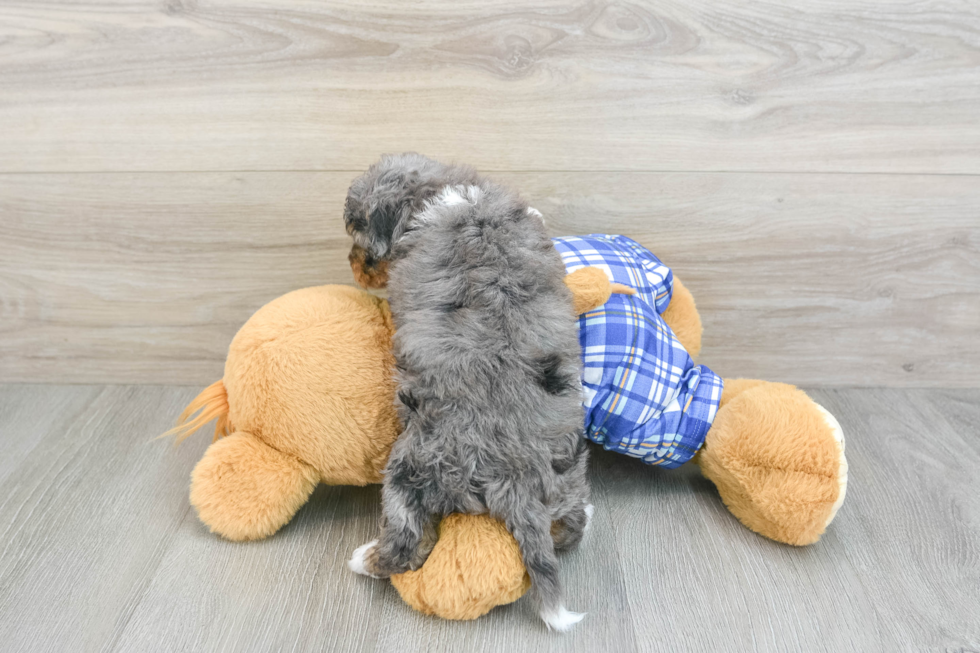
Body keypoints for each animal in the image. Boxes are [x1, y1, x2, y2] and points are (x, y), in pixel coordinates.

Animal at [342, 154, 588, 632]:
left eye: (361, 241)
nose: (353, 266)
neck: (446, 192)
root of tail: (517, 475)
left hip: (410, 470)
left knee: (407, 542)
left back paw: (365, 559)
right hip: (567, 475)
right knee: (572, 525)